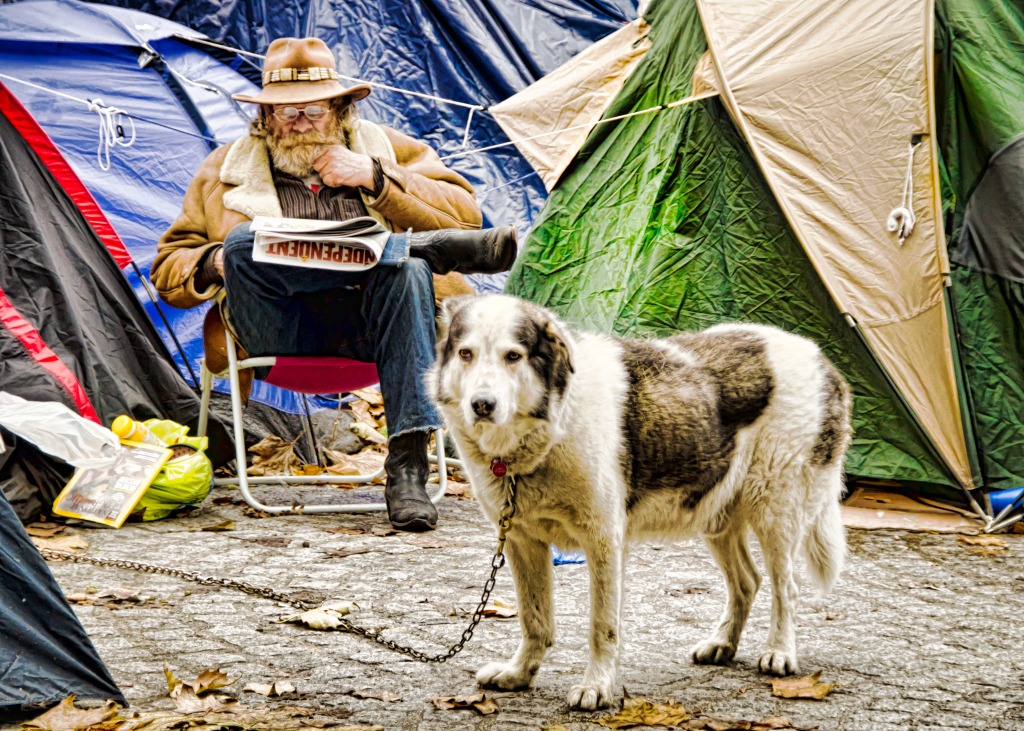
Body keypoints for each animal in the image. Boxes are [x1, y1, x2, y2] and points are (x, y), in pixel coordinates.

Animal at [423, 292, 847, 708]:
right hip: (716, 514)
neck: (550, 429)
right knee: (748, 581)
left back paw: (780, 652)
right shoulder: (522, 542)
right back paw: (722, 644)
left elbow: (602, 626)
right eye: (466, 354)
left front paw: (596, 687)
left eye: (513, 356)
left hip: (776, 513)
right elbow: (534, 619)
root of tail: (822, 358)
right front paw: (519, 674)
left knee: (785, 588)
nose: (482, 404)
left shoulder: (604, 542)